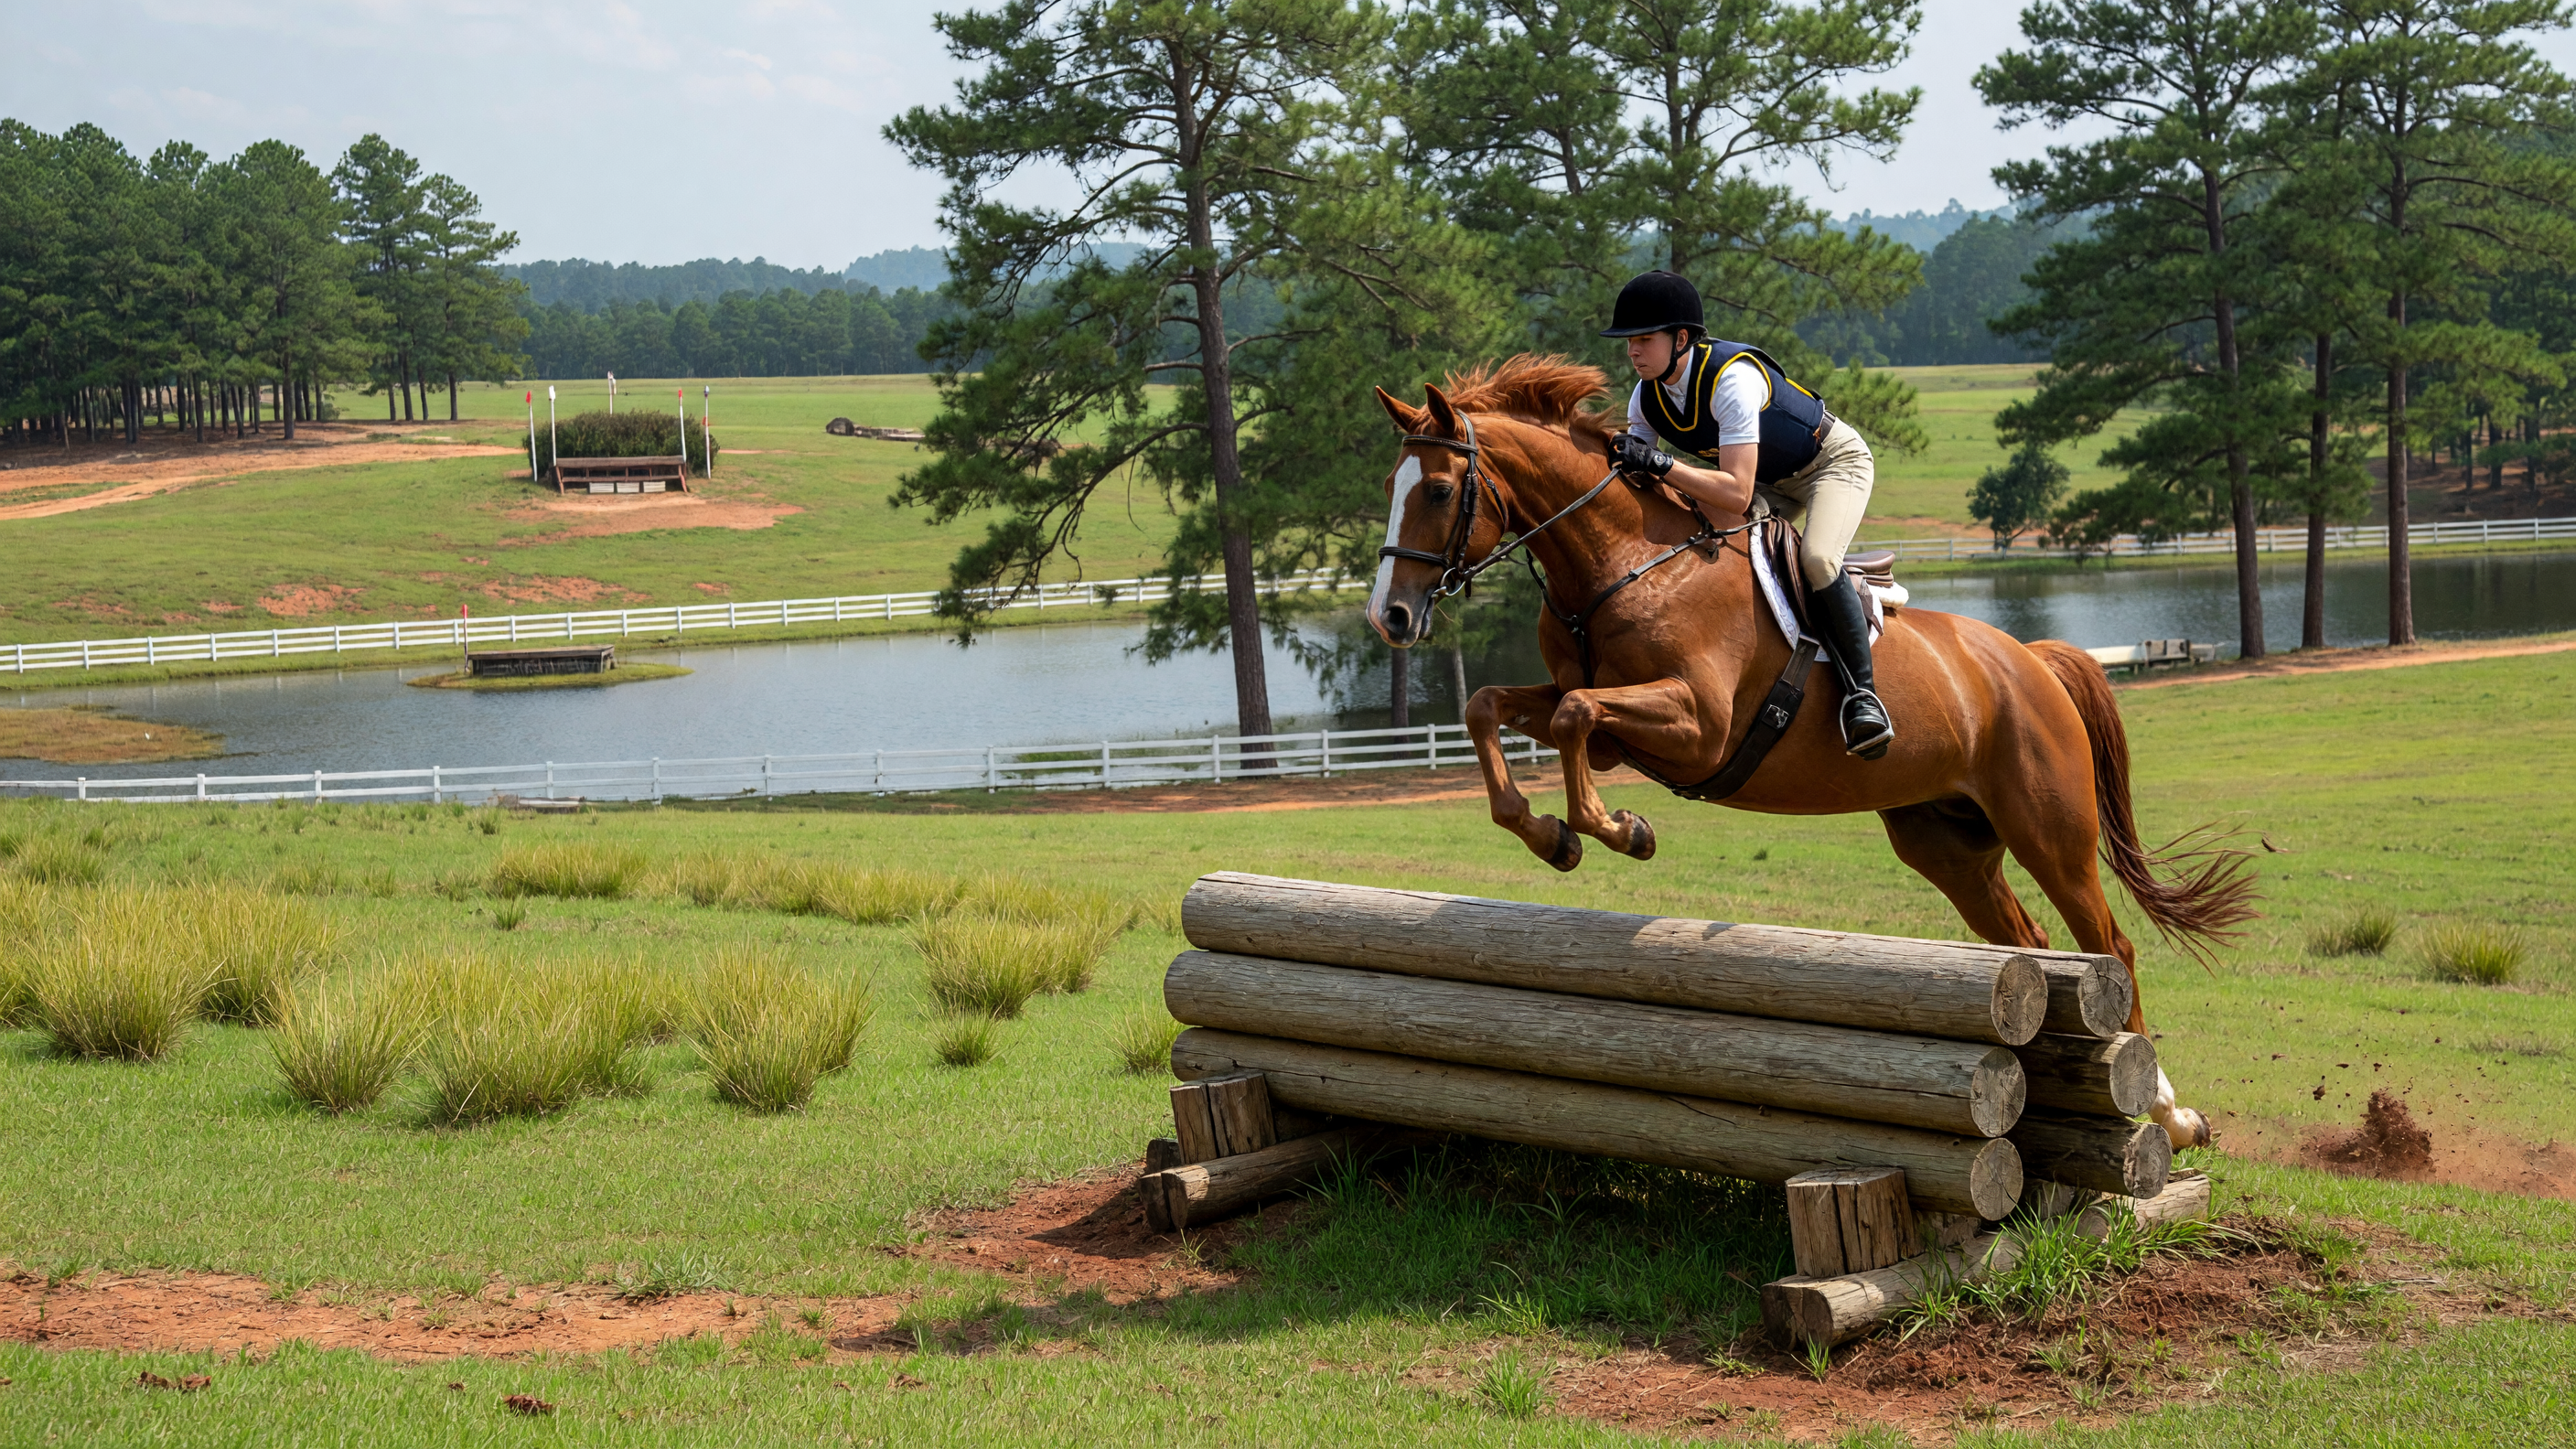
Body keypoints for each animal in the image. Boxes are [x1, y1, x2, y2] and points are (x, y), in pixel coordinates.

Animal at [1364, 356, 2256, 1150]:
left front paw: (1620, 831)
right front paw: (1550, 836)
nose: (1391, 618)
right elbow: (1494, 706)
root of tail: (2031, 661)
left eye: (1437, 491)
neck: (1624, 562)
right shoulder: (1606, 723)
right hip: (1947, 843)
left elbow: (1581, 714)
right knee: (2029, 940)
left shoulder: (1698, 726)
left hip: (2050, 830)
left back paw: (2172, 1114)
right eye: (1390, 490)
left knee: (2111, 945)